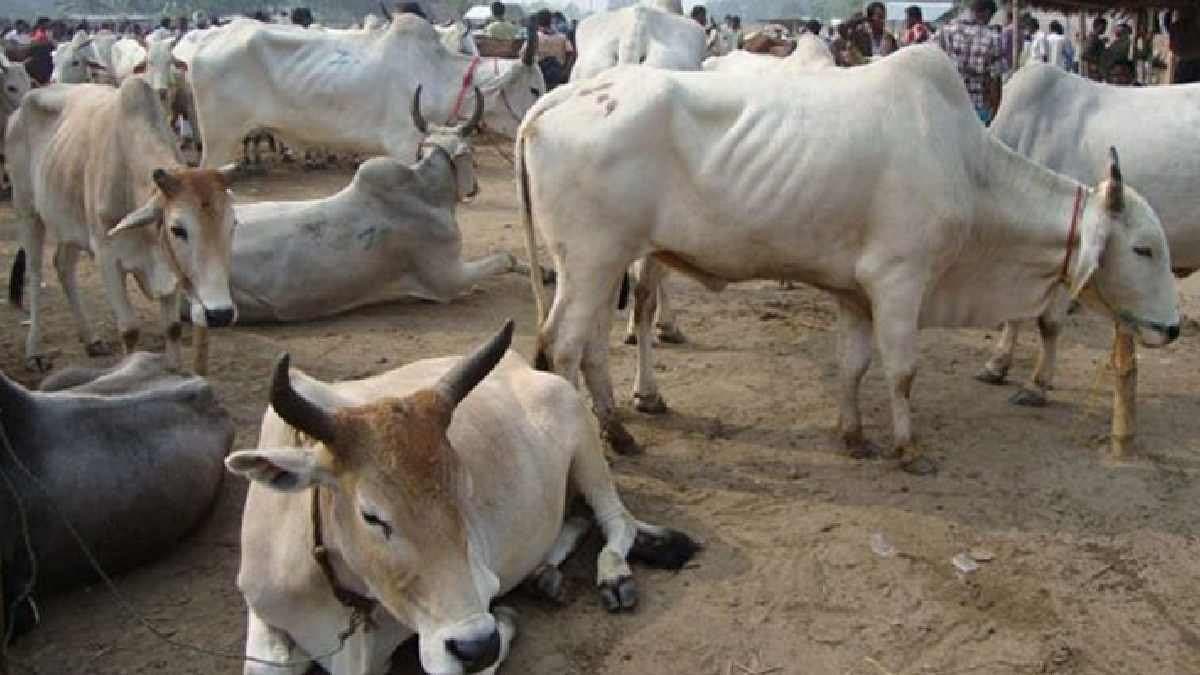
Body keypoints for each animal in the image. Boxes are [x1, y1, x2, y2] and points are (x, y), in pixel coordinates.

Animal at [6, 79, 240, 373]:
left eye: (233, 225)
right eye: (178, 230)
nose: (220, 313)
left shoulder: (168, 268)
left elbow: (172, 328)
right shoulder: (107, 258)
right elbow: (129, 330)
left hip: (70, 226)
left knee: (63, 267)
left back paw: (91, 339)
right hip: (27, 211)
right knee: (35, 274)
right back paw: (34, 351)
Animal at [226, 321, 699, 674]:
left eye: (465, 495)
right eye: (371, 515)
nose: (477, 646)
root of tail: (524, 366)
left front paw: (505, 621)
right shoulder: (262, 615)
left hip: (586, 445)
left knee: (616, 521)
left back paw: (613, 575)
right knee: (580, 519)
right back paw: (543, 575)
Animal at [517, 48, 1180, 476]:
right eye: (1144, 248)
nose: (1173, 328)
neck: (968, 168)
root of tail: (561, 97)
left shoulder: (857, 294)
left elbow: (854, 366)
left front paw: (854, 435)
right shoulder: (900, 281)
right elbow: (903, 371)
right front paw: (908, 450)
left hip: (599, 265)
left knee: (592, 347)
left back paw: (622, 433)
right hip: (593, 260)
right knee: (564, 346)